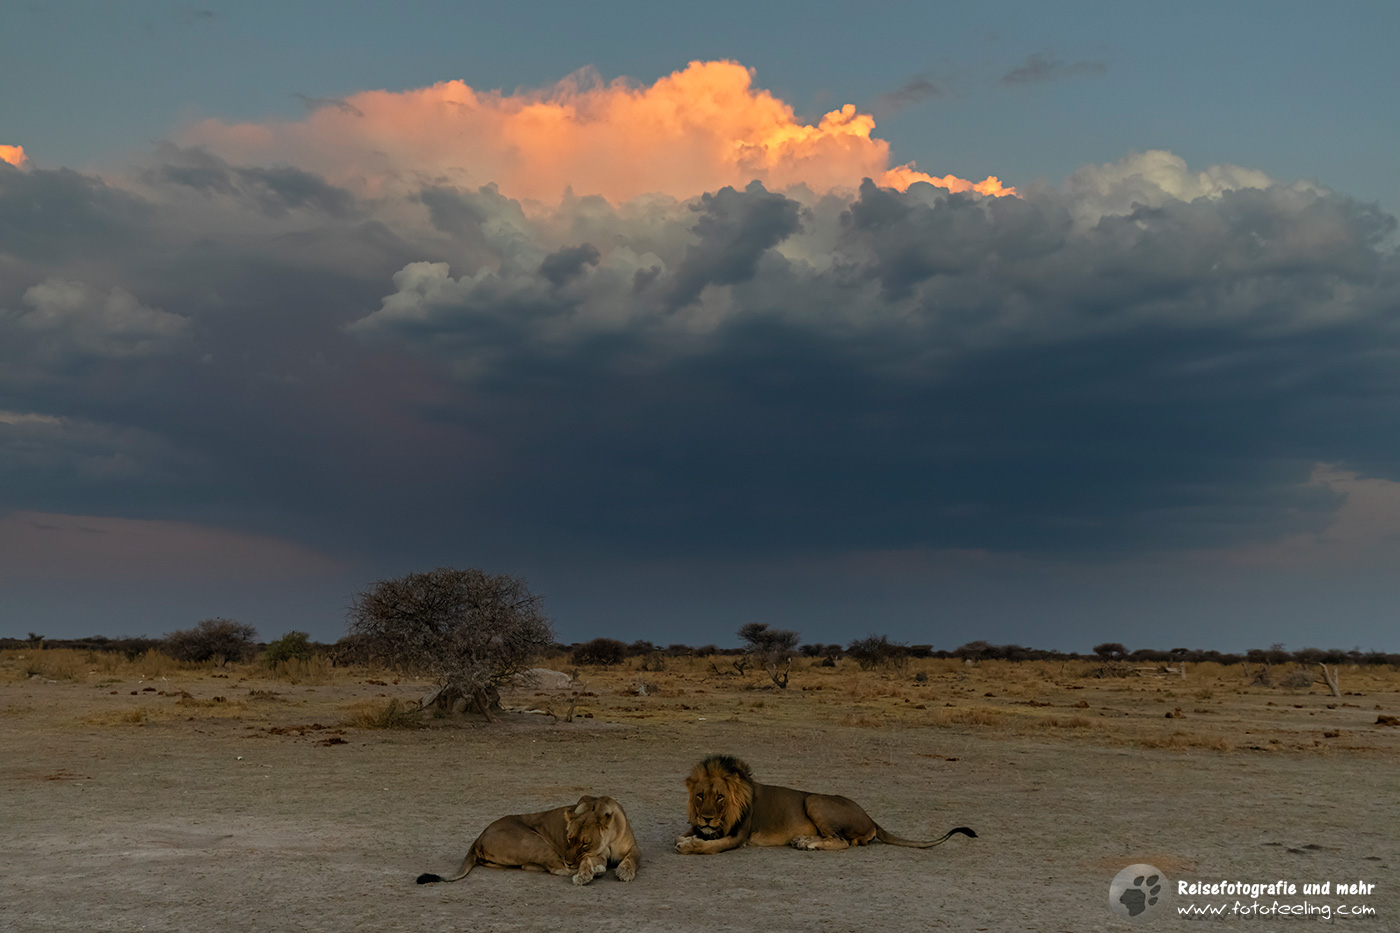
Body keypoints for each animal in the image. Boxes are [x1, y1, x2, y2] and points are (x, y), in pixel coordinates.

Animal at [417, 795, 640, 886]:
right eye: (569, 838)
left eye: (585, 842)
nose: (569, 860)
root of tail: (478, 838)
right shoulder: (591, 855)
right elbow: (585, 862)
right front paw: (586, 874)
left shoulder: (634, 849)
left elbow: (632, 860)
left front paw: (625, 872)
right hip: (536, 841)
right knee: (556, 868)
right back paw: (595, 871)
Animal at [675, 754, 976, 855]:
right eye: (700, 796)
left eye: (720, 797)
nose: (707, 818)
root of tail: (871, 818)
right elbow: (686, 832)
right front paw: (689, 836)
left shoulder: (739, 836)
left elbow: (712, 845)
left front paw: (691, 846)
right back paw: (803, 840)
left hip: (814, 800)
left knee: (841, 842)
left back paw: (809, 844)